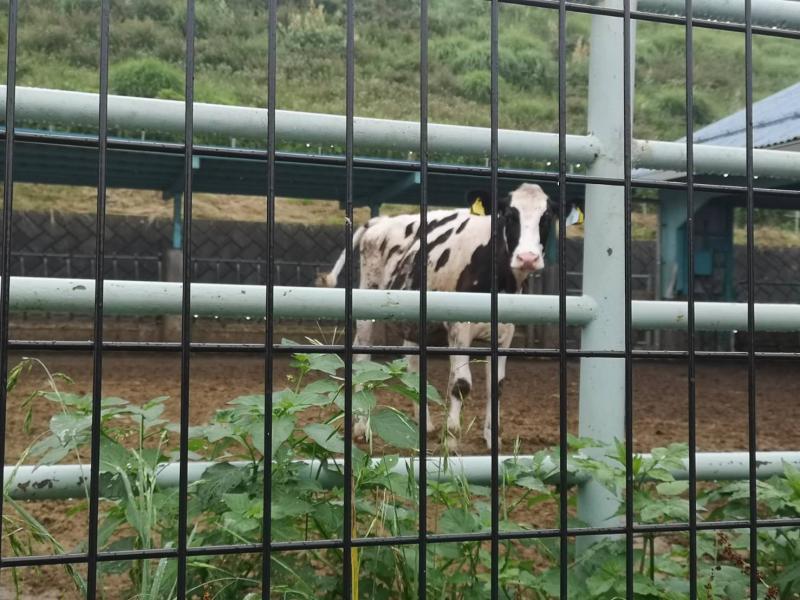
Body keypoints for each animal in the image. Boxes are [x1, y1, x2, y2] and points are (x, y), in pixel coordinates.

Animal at [317, 182, 583, 450]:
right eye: (509, 215)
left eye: (547, 217)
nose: (528, 258)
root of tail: (380, 222)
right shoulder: (459, 328)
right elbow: (461, 383)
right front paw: (452, 437)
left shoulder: (505, 332)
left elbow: (496, 385)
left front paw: (492, 437)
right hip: (366, 305)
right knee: (362, 358)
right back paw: (361, 426)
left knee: (413, 368)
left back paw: (424, 424)